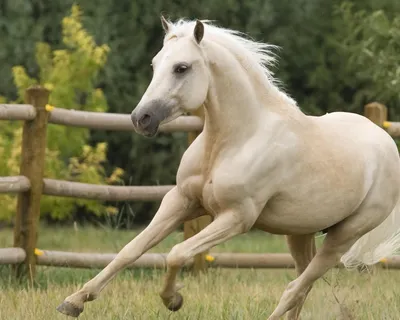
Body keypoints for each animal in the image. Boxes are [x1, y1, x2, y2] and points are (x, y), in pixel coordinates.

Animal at [56, 17, 400, 320]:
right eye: (155, 64)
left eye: (182, 67)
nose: (141, 119)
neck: (233, 141)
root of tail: (386, 142)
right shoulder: (181, 201)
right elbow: (131, 249)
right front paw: (74, 302)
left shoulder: (236, 217)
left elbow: (177, 252)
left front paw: (173, 300)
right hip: (300, 232)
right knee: (302, 287)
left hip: (343, 236)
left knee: (294, 288)